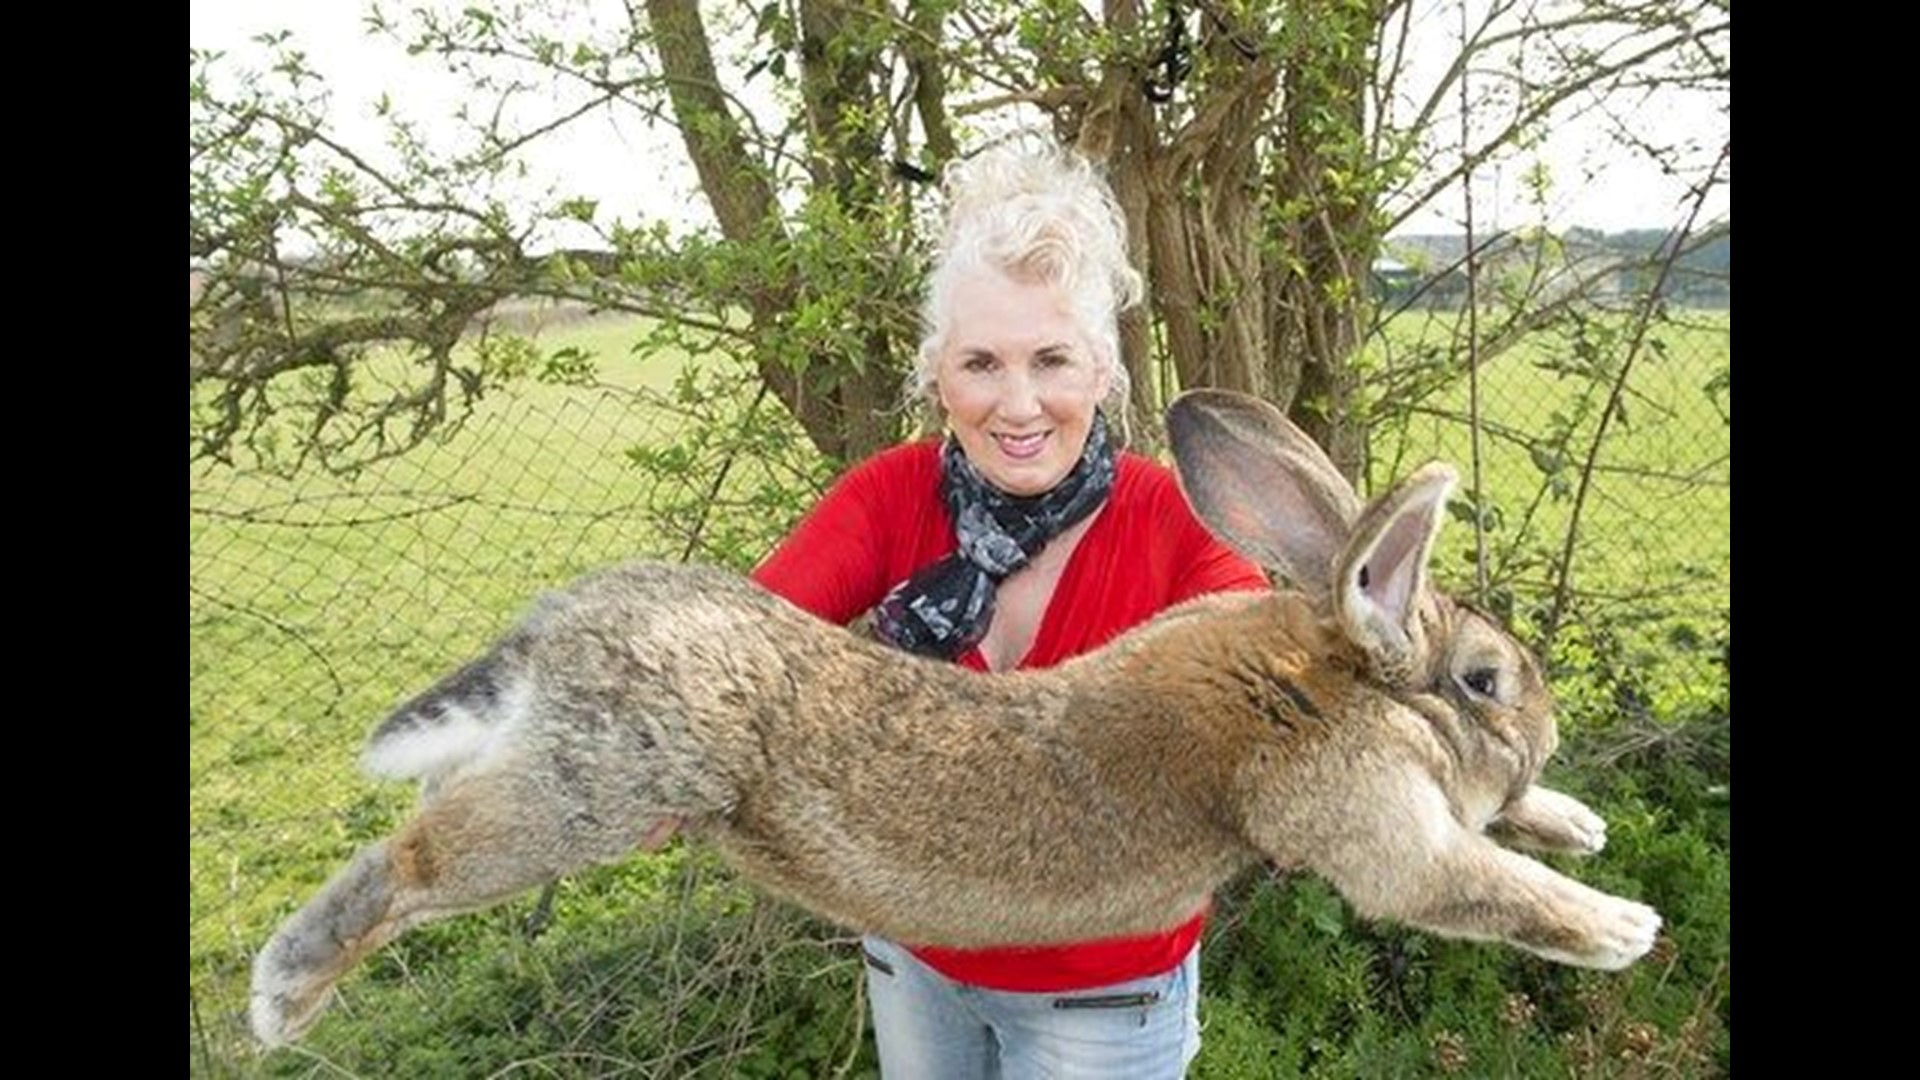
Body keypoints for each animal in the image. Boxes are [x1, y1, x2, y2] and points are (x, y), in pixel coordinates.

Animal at [249, 389, 1659, 1047]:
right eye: (1486, 681)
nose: (1543, 730)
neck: (1332, 675)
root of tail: (561, 629)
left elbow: (1502, 837)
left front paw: (1574, 820)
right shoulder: (1373, 825)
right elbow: (1473, 884)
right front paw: (1621, 925)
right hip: (592, 793)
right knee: (411, 860)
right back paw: (283, 1000)